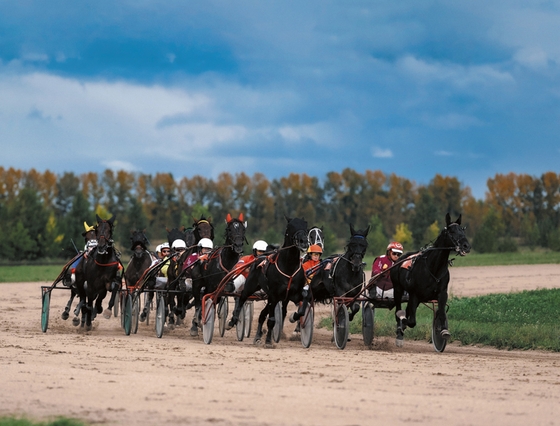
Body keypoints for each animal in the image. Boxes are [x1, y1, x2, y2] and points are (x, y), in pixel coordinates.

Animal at [226, 216, 308, 346]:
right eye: (291, 227)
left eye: (305, 226)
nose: (303, 241)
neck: (288, 267)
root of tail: (258, 259)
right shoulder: (274, 295)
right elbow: (272, 320)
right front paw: (269, 341)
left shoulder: (292, 294)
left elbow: (303, 305)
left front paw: (293, 316)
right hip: (251, 286)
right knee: (242, 299)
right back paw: (233, 320)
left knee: (262, 314)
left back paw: (258, 336)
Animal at [390, 213, 472, 346]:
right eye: (452, 231)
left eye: (462, 230)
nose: (466, 246)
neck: (434, 268)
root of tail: (399, 259)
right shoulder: (415, 294)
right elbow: (411, 321)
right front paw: (403, 324)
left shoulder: (442, 293)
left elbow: (442, 312)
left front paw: (443, 330)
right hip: (398, 289)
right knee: (399, 310)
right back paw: (400, 328)